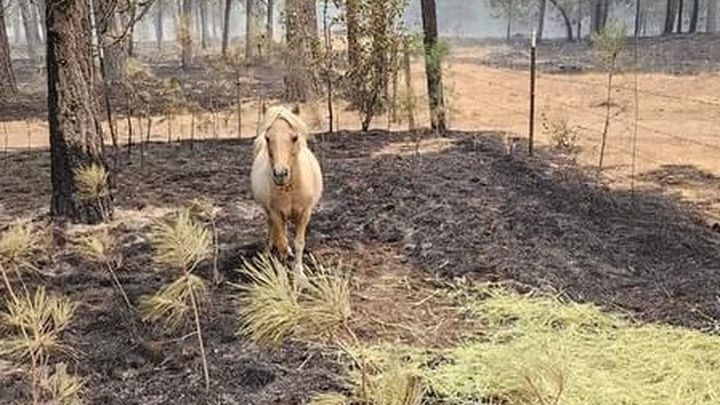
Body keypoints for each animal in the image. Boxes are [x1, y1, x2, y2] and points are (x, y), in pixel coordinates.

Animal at [250, 105, 324, 274]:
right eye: (268, 138)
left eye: (294, 138)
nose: (280, 174)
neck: (290, 188)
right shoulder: (276, 213)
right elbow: (282, 244)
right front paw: (282, 273)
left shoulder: (305, 213)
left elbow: (299, 243)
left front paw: (299, 272)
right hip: (269, 211)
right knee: (272, 227)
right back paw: (267, 250)